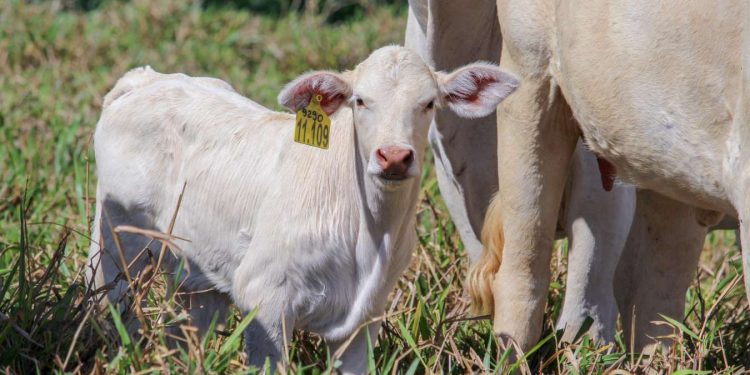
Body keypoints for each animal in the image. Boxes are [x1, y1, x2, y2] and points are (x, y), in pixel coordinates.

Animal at [88, 46, 520, 374]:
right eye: (360, 101)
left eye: (429, 103)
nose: (394, 157)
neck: (366, 231)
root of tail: (145, 80)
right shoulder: (264, 299)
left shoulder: (365, 317)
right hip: (116, 247)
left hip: (198, 276)